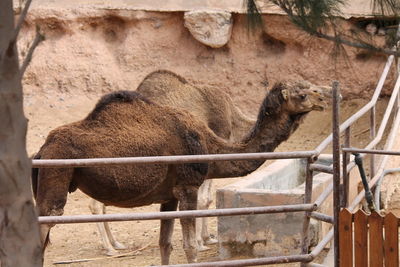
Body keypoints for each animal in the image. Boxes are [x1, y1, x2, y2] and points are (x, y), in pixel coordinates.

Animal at [32, 82, 328, 266]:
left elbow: (165, 245)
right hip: (56, 177)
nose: (324, 97)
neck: (210, 145)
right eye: (302, 94)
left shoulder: (168, 197)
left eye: (309, 86)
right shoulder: (188, 187)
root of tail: (42, 149)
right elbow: (190, 247)